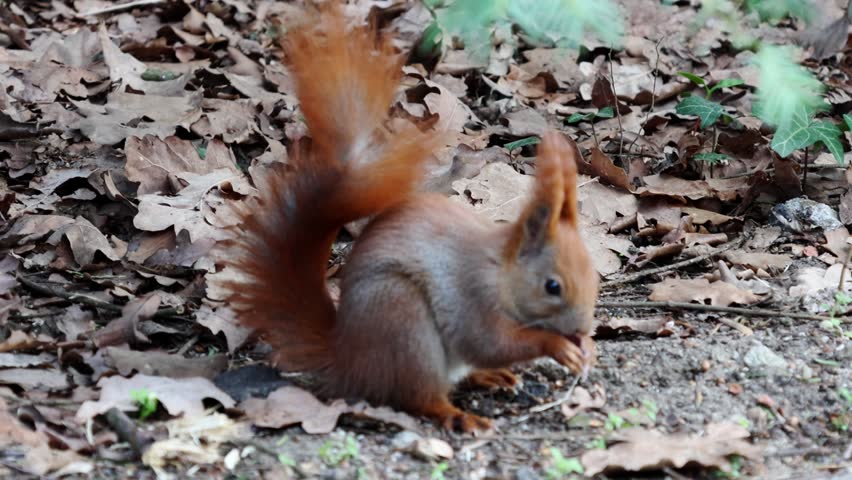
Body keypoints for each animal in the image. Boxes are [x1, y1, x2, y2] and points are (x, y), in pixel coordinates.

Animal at [224, 6, 600, 433]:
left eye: (594, 275)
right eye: (552, 286)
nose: (582, 329)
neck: (500, 271)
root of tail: (350, 359)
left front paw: (587, 348)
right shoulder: (471, 295)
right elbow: (490, 342)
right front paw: (557, 346)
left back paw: (491, 377)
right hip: (405, 322)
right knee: (421, 397)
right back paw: (460, 415)